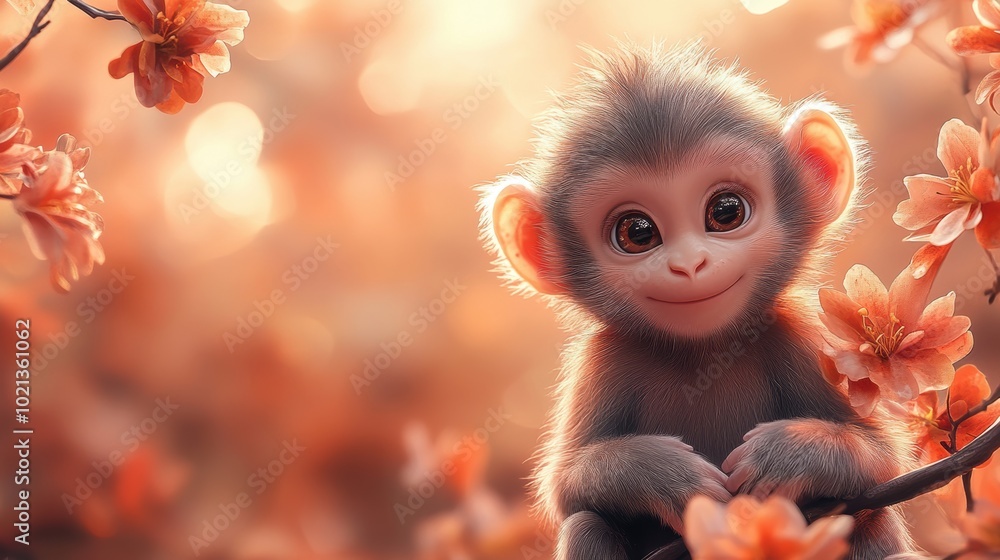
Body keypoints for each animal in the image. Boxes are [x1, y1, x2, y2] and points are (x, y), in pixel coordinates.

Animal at [478, 43, 915, 560]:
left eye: (725, 211)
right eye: (637, 232)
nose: (689, 265)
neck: (703, 350)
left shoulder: (801, 333)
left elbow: (883, 460)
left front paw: (783, 456)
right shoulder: (601, 358)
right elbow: (565, 487)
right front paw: (665, 475)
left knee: (868, 516)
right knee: (588, 522)